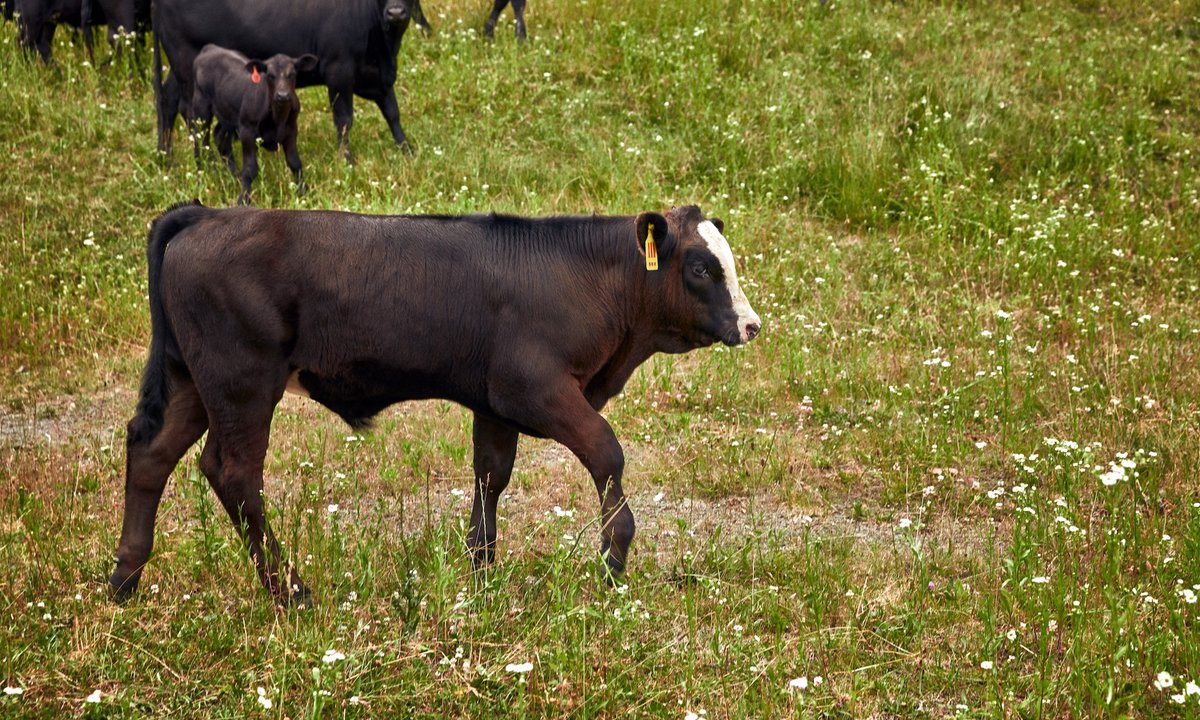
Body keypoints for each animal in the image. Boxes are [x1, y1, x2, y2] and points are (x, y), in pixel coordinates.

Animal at [109, 202, 762, 605]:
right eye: (701, 267)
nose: (752, 325)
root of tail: (207, 213)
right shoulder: (540, 391)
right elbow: (607, 453)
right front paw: (612, 559)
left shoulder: (496, 403)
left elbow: (491, 474)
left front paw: (481, 568)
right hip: (241, 383)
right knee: (232, 471)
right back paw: (291, 591)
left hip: (192, 381)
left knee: (151, 453)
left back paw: (125, 578)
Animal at [154, 0, 415, 164]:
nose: (395, 12)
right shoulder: (339, 73)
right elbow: (344, 120)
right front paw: (347, 160)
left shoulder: (378, 77)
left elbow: (393, 113)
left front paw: (407, 151)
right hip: (186, 64)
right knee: (194, 117)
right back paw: (207, 165)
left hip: (183, 68)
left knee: (169, 101)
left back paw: (167, 159)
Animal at [191, 45, 319, 205]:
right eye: (270, 75)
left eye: (292, 74)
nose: (282, 95)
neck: (277, 117)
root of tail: (210, 48)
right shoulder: (247, 130)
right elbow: (250, 169)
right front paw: (243, 200)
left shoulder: (291, 130)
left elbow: (295, 162)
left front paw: (305, 193)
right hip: (201, 107)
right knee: (200, 139)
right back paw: (202, 173)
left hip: (228, 114)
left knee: (220, 137)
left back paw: (233, 175)